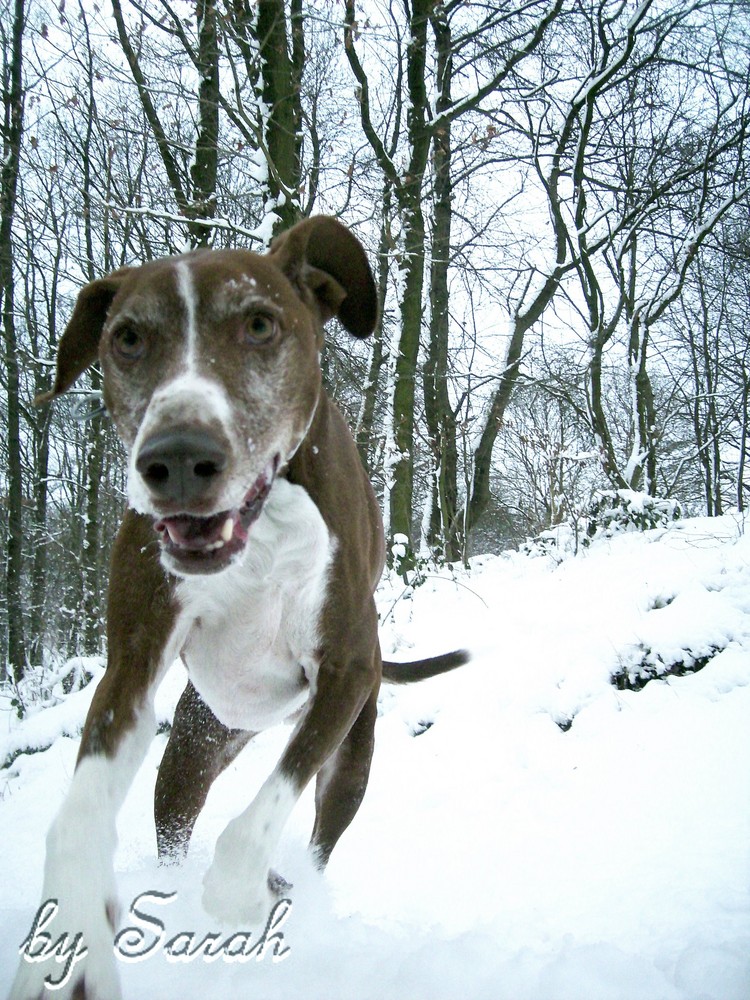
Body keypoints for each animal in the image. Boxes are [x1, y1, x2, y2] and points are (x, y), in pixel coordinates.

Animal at [10, 215, 470, 996]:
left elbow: (260, 818)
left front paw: (245, 892)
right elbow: (76, 819)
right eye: (127, 338)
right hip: (196, 742)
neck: (263, 523)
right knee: (175, 818)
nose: (178, 458)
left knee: (318, 830)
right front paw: (70, 936)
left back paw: (293, 891)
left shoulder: (346, 671)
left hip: (352, 751)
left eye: (259, 324)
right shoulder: (132, 665)